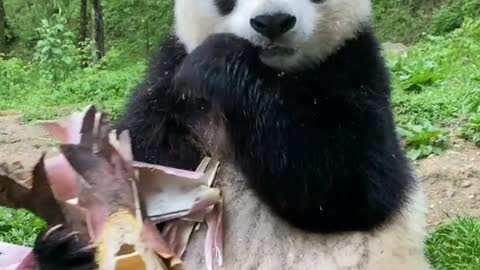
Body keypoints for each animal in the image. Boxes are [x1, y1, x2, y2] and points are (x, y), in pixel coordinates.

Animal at [31, 0, 434, 268]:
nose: (272, 22)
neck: (274, 74)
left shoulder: (355, 65)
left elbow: (354, 184)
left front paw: (222, 59)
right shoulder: (168, 85)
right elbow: (136, 161)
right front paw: (71, 239)